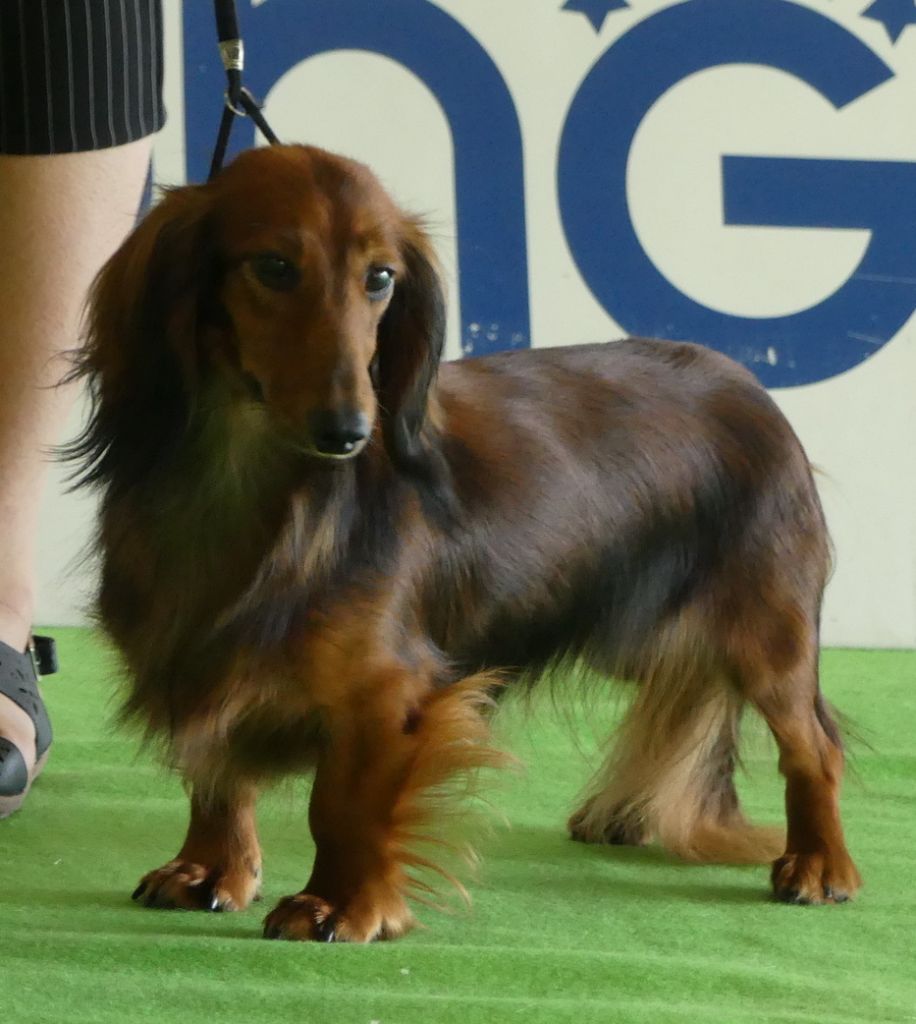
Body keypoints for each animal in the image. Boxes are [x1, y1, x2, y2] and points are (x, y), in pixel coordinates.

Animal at [66, 143, 860, 942]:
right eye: (274, 266)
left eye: (380, 277)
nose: (349, 431)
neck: (249, 482)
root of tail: (749, 384)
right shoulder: (197, 655)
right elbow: (215, 773)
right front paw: (210, 867)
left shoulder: (388, 689)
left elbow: (341, 805)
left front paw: (341, 904)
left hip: (768, 631)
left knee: (811, 744)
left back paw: (820, 862)